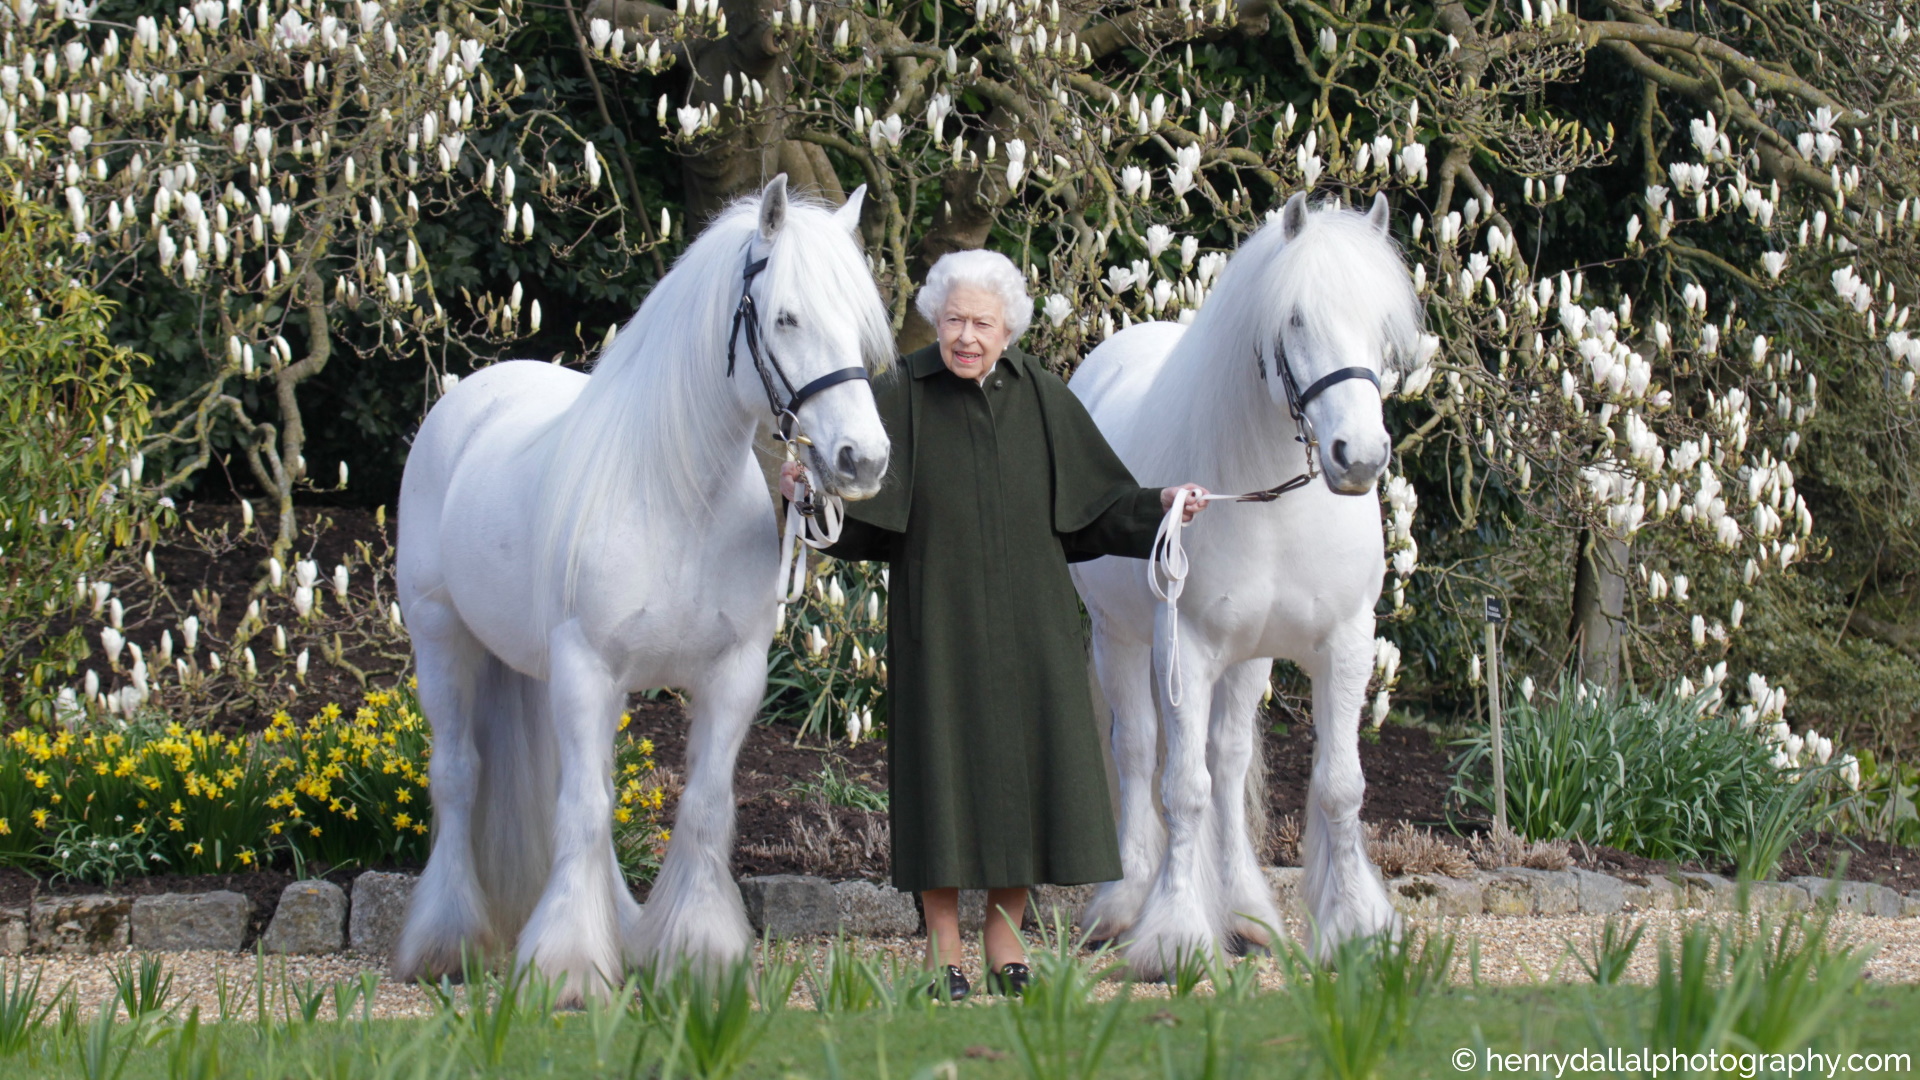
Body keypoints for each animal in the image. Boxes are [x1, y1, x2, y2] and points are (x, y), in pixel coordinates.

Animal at [391, 175, 892, 1002]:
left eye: (857, 324)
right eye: (786, 316)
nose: (864, 459)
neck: (677, 498)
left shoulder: (732, 676)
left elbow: (702, 806)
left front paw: (698, 954)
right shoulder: (588, 668)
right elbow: (585, 810)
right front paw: (566, 968)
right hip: (443, 640)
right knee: (459, 777)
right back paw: (446, 941)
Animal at [1068, 191, 1423, 976]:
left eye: (1381, 324)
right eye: (1295, 319)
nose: (1360, 456)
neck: (1273, 501)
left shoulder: (1344, 644)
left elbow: (1338, 786)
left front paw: (1355, 926)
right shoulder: (1187, 650)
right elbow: (1181, 788)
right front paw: (1172, 936)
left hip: (1248, 658)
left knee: (1227, 764)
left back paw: (1245, 912)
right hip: (1120, 640)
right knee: (1139, 751)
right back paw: (1124, 903)